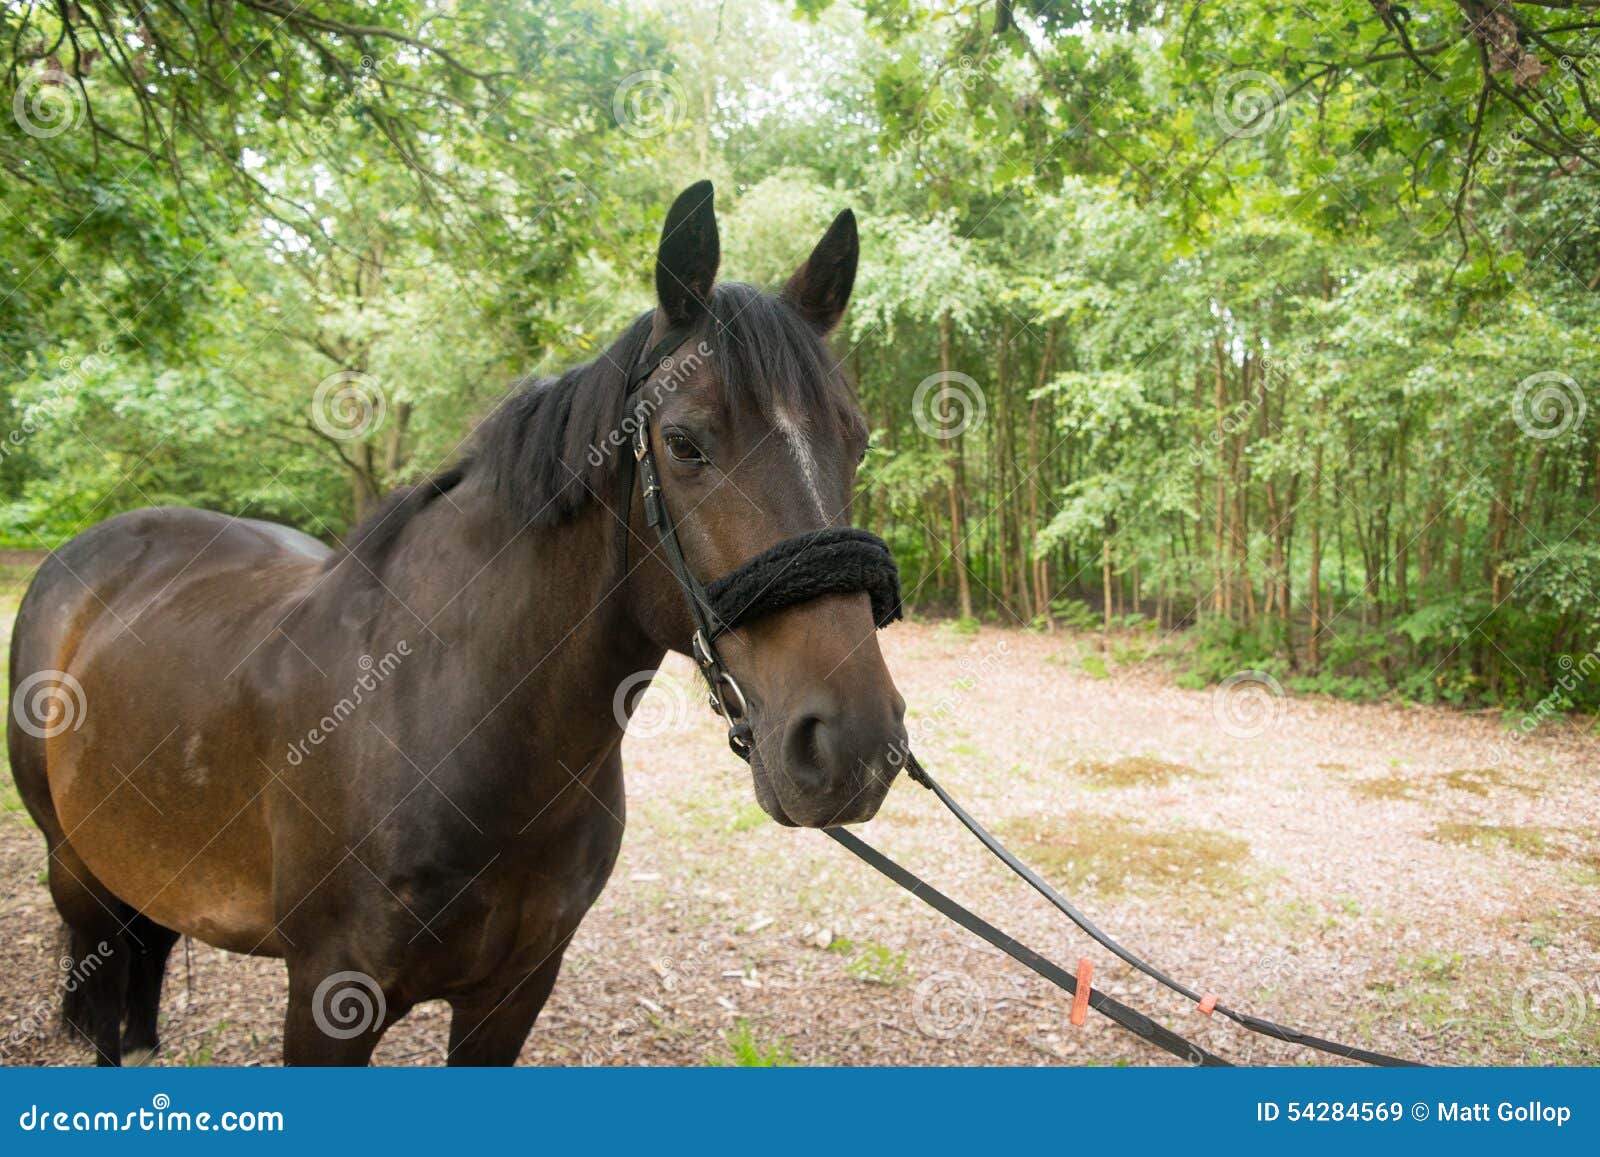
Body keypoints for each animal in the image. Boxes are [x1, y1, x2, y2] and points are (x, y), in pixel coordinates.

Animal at [7, 180, 908, 1065]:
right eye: (685, 443)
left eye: (857, 443)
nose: (855, 744)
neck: (449, 716)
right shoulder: (328, 998)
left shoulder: (512, 993)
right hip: (78, 875)